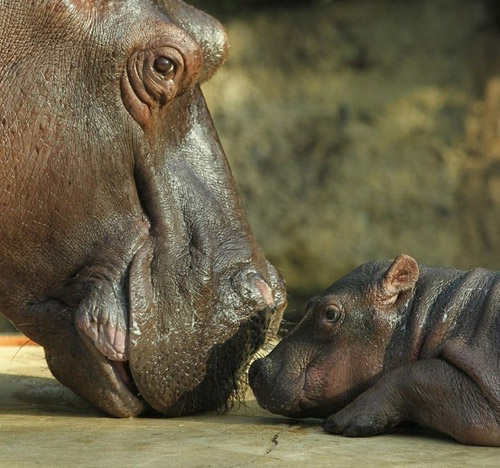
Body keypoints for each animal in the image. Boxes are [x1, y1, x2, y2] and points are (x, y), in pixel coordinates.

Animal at [248, 256, 498, 446]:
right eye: (308, 302)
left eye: (330, 313)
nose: (257, 367)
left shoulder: (487, 390)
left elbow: (418, 374)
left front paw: (342, 422)